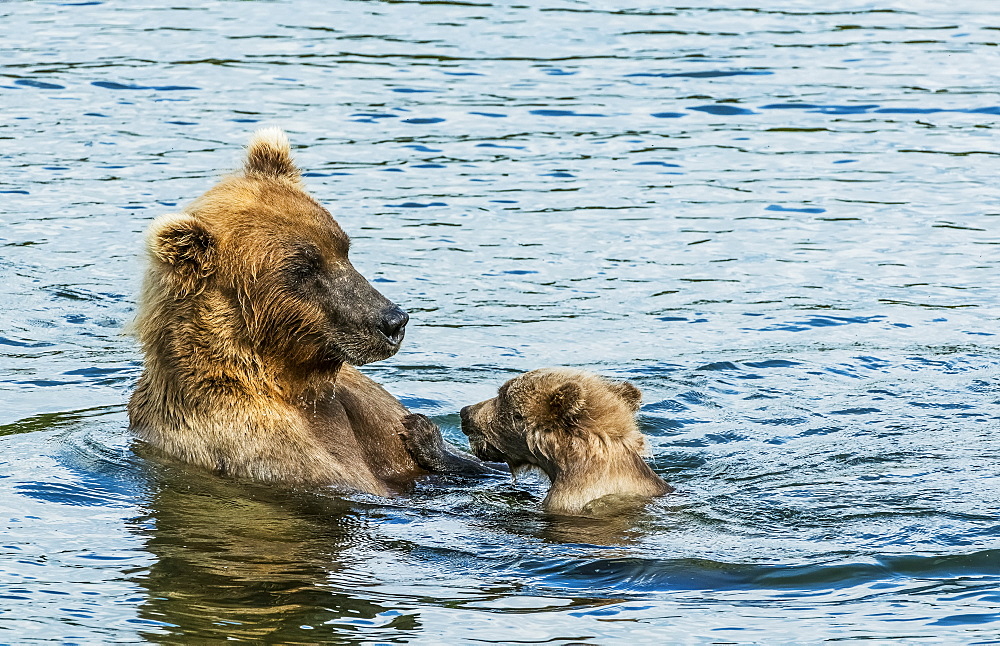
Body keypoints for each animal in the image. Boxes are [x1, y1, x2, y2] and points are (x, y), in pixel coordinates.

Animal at [130, 129, 446, 498]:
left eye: (343, 249)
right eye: (304, 269)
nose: (393, 321)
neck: (296, 386)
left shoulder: (370, 411)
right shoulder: (270, 449)